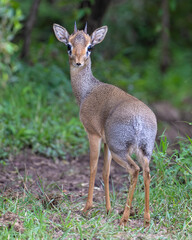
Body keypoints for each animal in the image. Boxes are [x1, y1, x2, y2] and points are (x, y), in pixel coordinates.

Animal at [53, 21, 158, 226]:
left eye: (90, 47)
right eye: (68, 45)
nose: (78, 62)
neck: (87, 91)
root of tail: (139, 120)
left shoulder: (93, 134)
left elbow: (93, 168)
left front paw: (87, 208)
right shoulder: (106, 143)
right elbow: (105, 172)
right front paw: (108, 209)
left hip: (121, 150)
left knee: (134, 170)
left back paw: (125, 218)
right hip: (144, 150)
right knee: (147, 172)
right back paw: (146, 218)